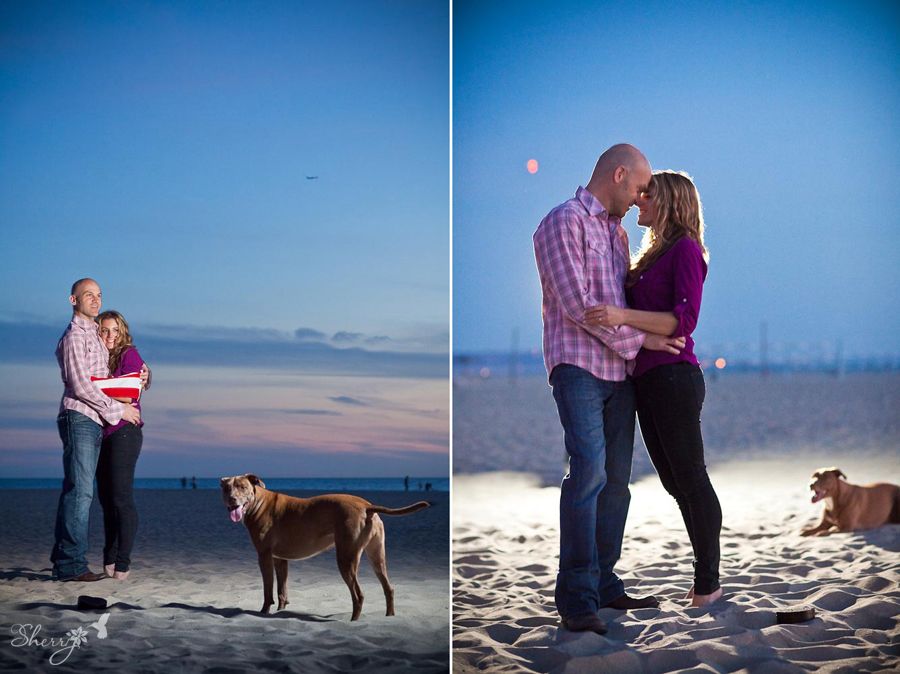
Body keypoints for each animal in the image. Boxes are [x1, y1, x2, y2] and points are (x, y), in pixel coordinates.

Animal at [218, 472, 428, 620]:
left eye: (242, 487)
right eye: (227, 489)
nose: (232, 499)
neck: (258, 502)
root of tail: (367, 505)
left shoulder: (264, 556)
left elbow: (268, 590)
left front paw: (263, 611)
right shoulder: (280, 559)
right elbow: (282, 590)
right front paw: (280, 610)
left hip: (346, 558)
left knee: (358, 595)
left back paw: (353, 621)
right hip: (377, 556)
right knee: (388, 588)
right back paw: (389, 617)